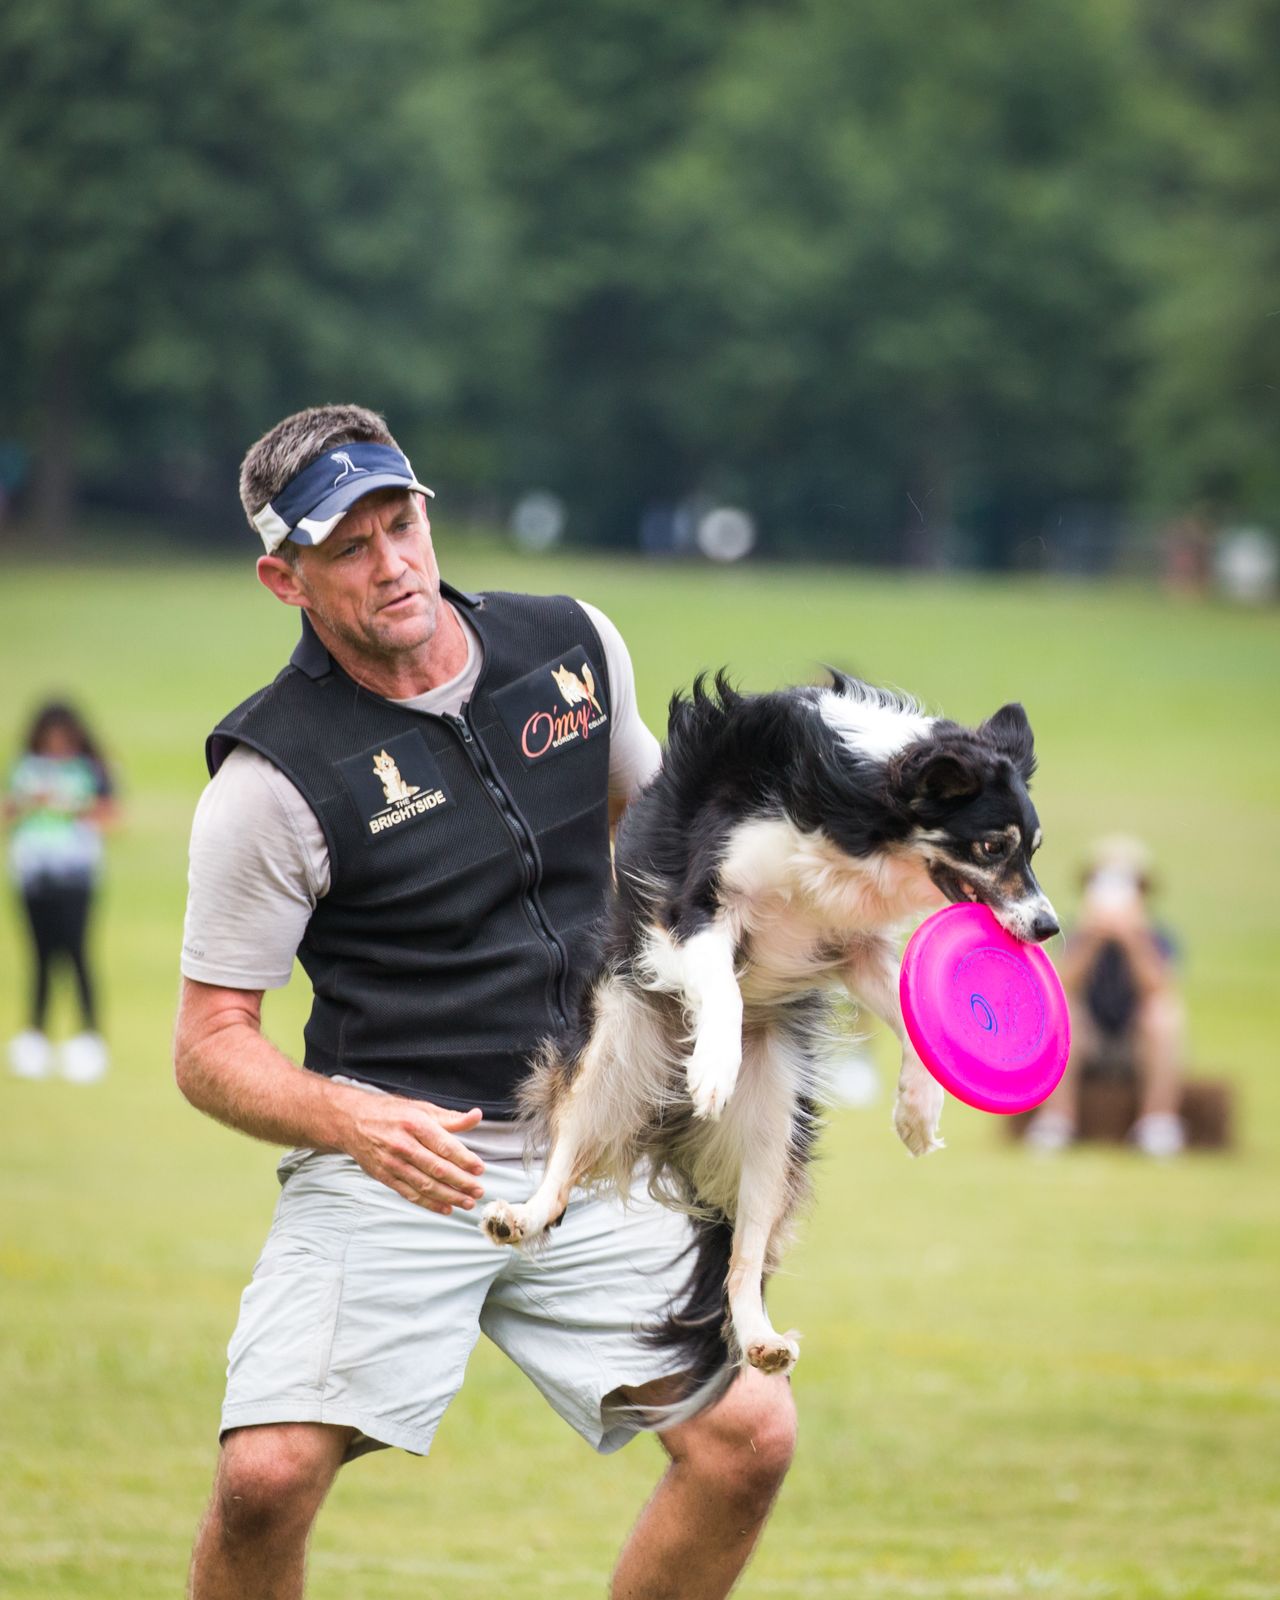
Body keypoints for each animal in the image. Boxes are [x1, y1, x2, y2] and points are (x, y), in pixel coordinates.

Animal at [482, 672, 1058, 1411]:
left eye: (1032, 850)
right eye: (993, 846)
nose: (1047, 928)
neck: (857, 808)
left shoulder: (850, 943)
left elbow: (911, 1016)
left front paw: (917, 1109)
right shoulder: (697, 904)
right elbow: (723, 990)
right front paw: (712, 1069)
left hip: (773, 1129)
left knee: (744, 1256)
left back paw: (760, 1338)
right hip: (612, 1053)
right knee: (564, 1161)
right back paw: (521, 1217)